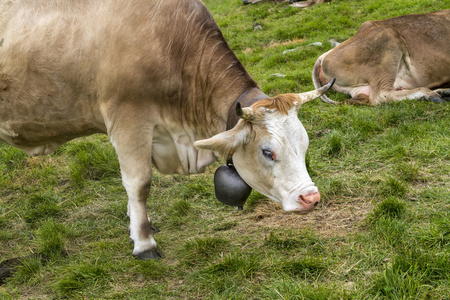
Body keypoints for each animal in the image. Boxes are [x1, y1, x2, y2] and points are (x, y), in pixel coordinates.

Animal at [0, 0, 334, 258]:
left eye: (304, 146)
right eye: (268, 152)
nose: (311, 198)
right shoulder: (128, 120)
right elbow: (139, 183)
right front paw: (144, 242)